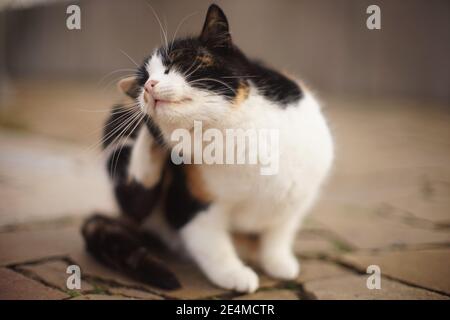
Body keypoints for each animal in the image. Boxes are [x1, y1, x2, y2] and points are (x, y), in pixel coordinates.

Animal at [81, 4, 334, 292]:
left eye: (175, 63)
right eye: (144, 78)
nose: (146, 86)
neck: (232, 133)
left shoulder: (298, 196)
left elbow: (280, 232)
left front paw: (279, 262)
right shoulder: (190, 203)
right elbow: (212, 245)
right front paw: (236, 275)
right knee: (136, 195)